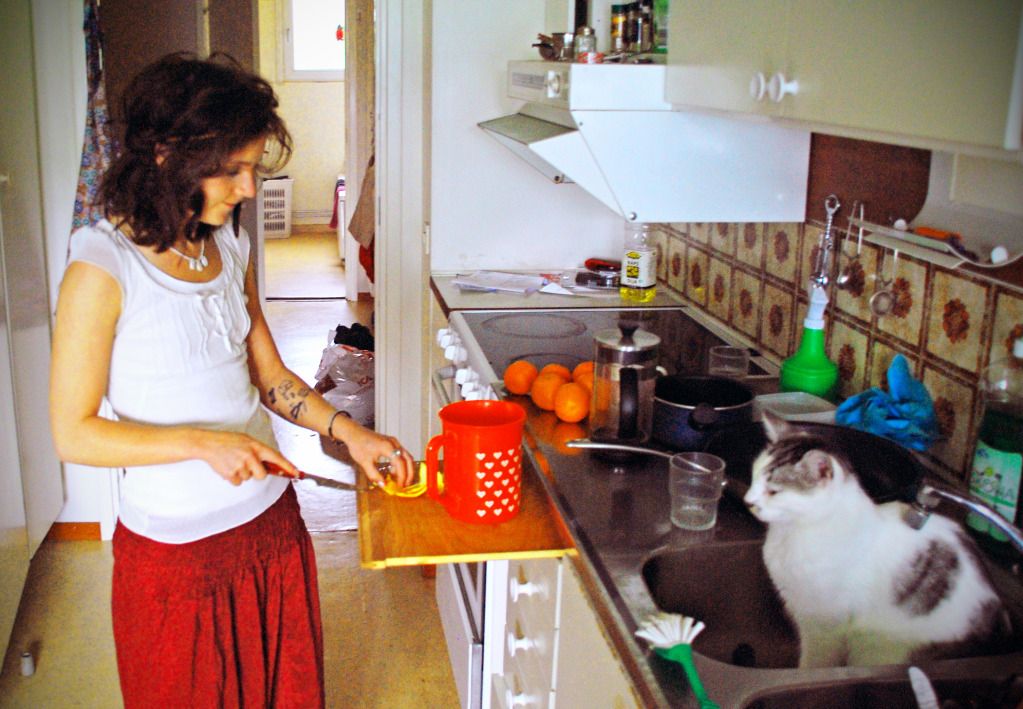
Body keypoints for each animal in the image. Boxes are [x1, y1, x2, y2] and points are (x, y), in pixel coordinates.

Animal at [743, 411, 1013, 668]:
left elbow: (813, 663)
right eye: (754, 476)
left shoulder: (823, 628)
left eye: (774, 491)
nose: (748, 501)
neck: (792, 533)